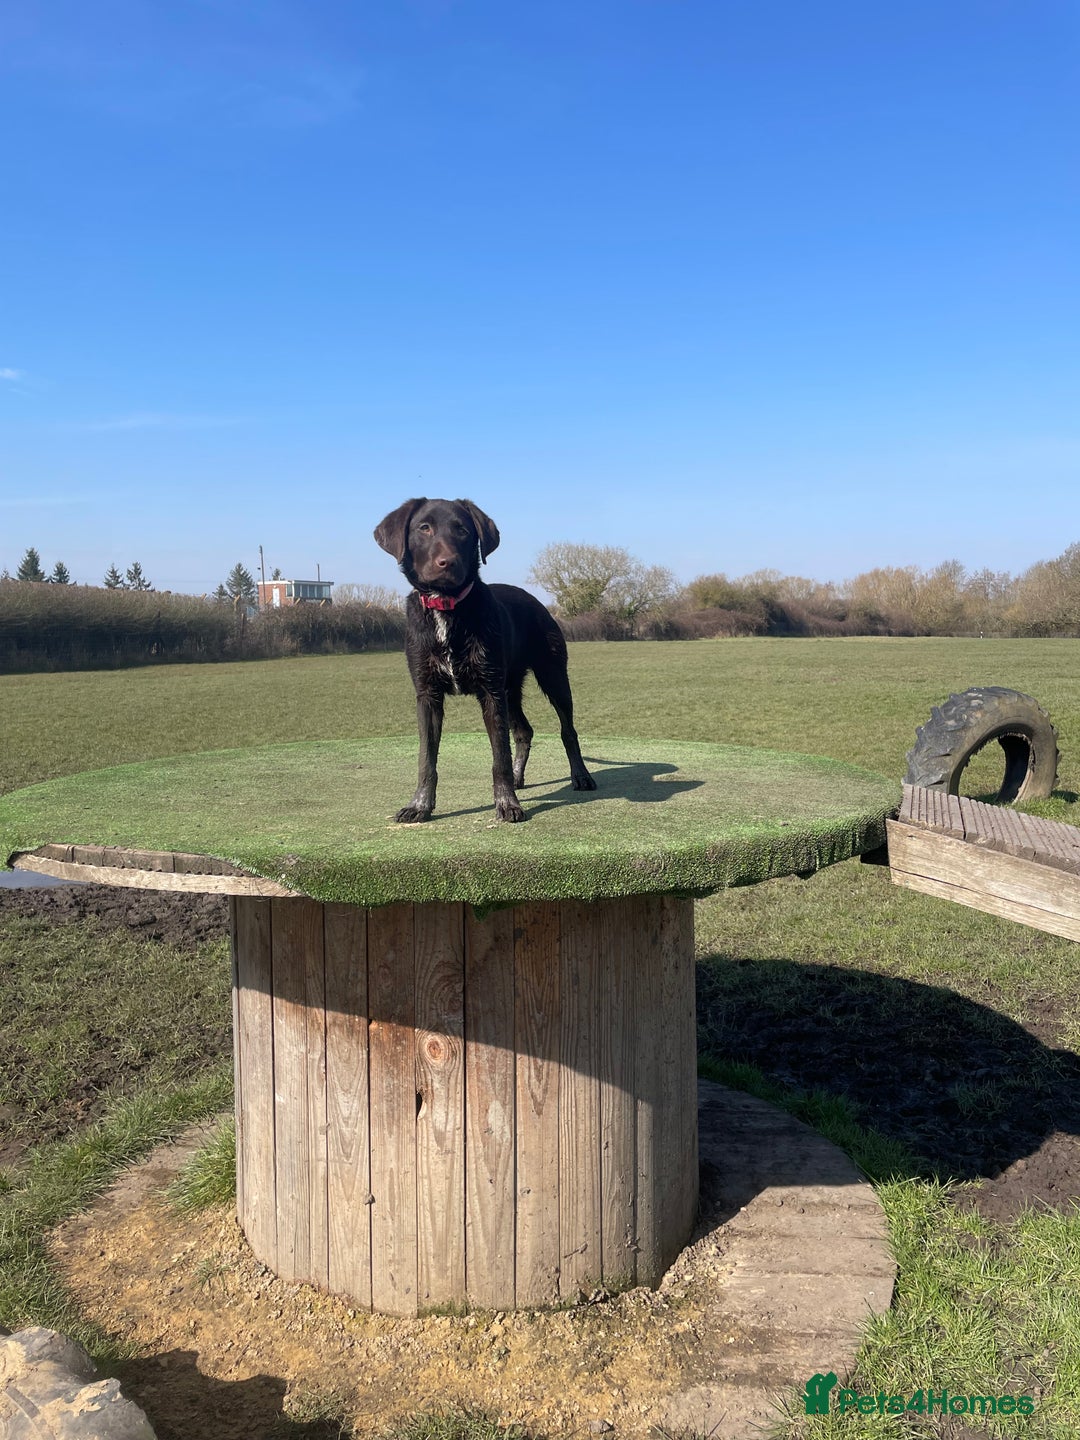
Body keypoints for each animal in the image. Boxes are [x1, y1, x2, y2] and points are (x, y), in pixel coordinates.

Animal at [374, 497, 596, 822]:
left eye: (463, 530)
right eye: (424, 528)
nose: (448, 562)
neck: (446, 607)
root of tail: (535, 600)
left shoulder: (491, 692)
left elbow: (499, 755)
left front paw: (507, 803)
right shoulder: (428, 695)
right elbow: (426, 758)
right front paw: (420, 805)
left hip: (552, 677)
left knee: (568, 730)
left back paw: (580, 776)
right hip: (510, 689)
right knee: (523, 731)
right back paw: (519, 778)